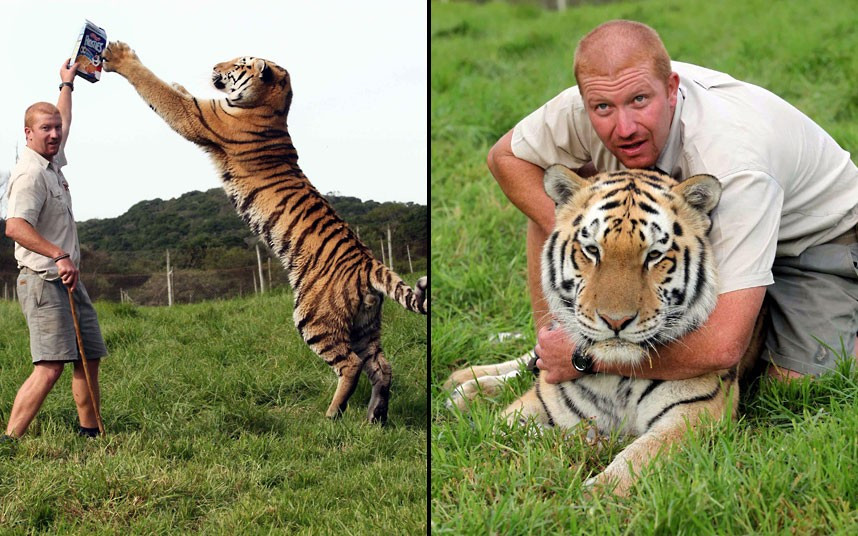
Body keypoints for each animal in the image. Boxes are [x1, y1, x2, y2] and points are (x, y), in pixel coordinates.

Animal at [102, 42, 427, 424]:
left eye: (238, 63)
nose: (214, 65)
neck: (272, 105)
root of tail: (368, 264)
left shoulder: (197, 116)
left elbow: (157, 89)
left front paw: (120, 56)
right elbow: (174, 89)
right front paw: (177, 80)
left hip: (314, 318)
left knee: (351, 364)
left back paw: (332, 414)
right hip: (365, 326)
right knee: (382, 366)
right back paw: (375, 417)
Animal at [445, 165, 763, 495]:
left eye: (654, 255)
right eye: (592, 251)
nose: (616, 321)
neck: (616, 378)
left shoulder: (695, 414)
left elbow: (640, 456)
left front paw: (594, 492)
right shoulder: (536, 405)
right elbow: (504, 432)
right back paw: (468, 384)